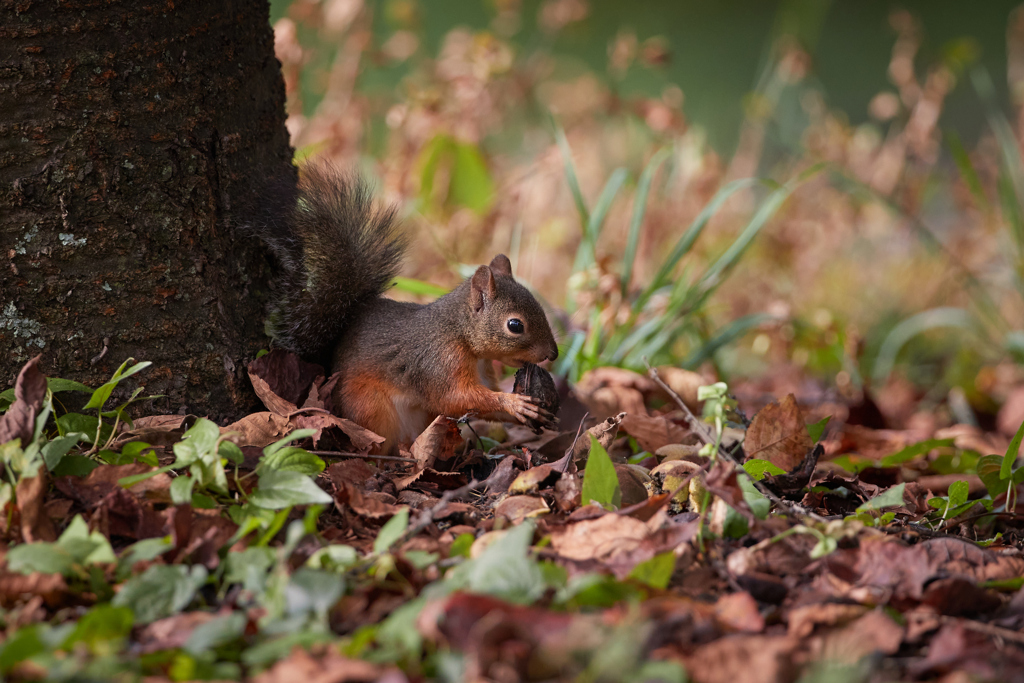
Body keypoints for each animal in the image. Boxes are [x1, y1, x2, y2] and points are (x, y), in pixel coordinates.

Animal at [249, 161, 561, 454]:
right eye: (515, 325)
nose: (553, 354)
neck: (459, 332)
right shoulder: (438, 362)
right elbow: (454, 398)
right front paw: (513, 402)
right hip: (370, 408)